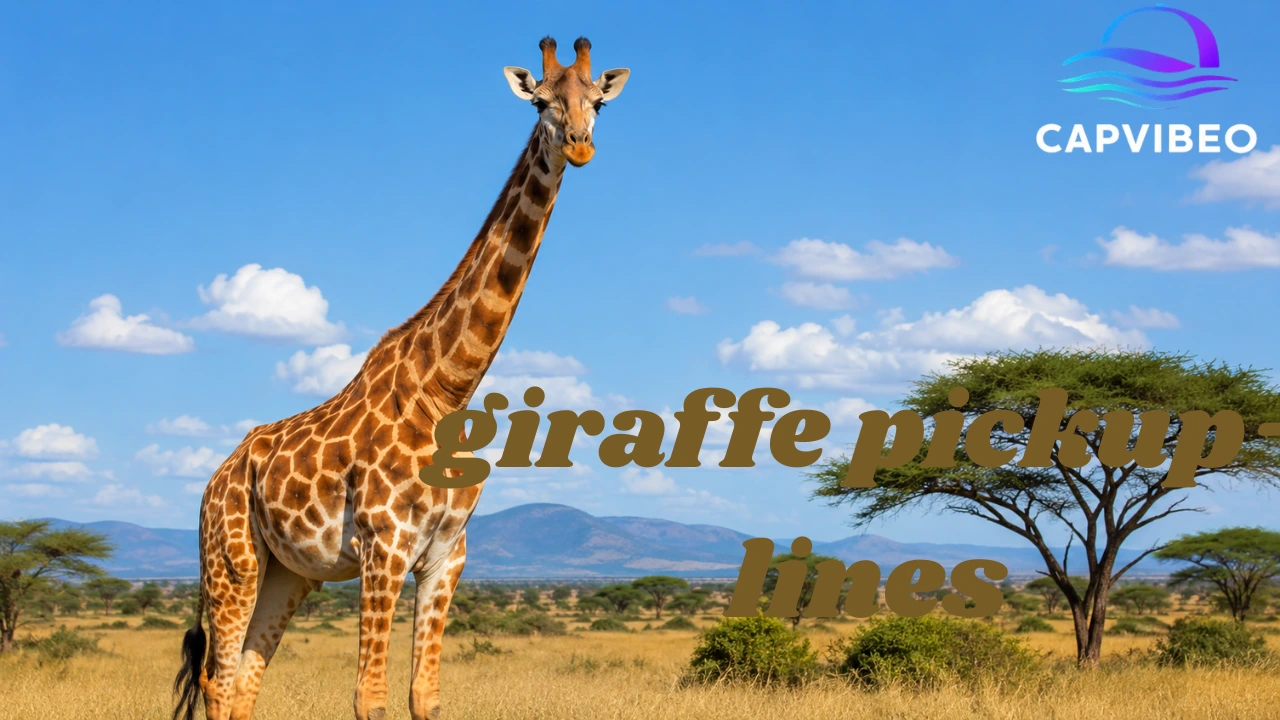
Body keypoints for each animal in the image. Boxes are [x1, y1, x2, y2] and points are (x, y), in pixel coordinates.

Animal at [172, 36, 629, 720]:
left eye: (596, 101)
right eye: (541, 102)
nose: (578, 144)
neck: (446, 389)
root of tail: (213, 480)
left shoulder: (446, 555)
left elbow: (425, 697)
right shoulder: (382, 546)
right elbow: (370, 697)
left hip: (289, 573)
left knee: (247, 677)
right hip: (232, 562)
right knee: (218, 681)